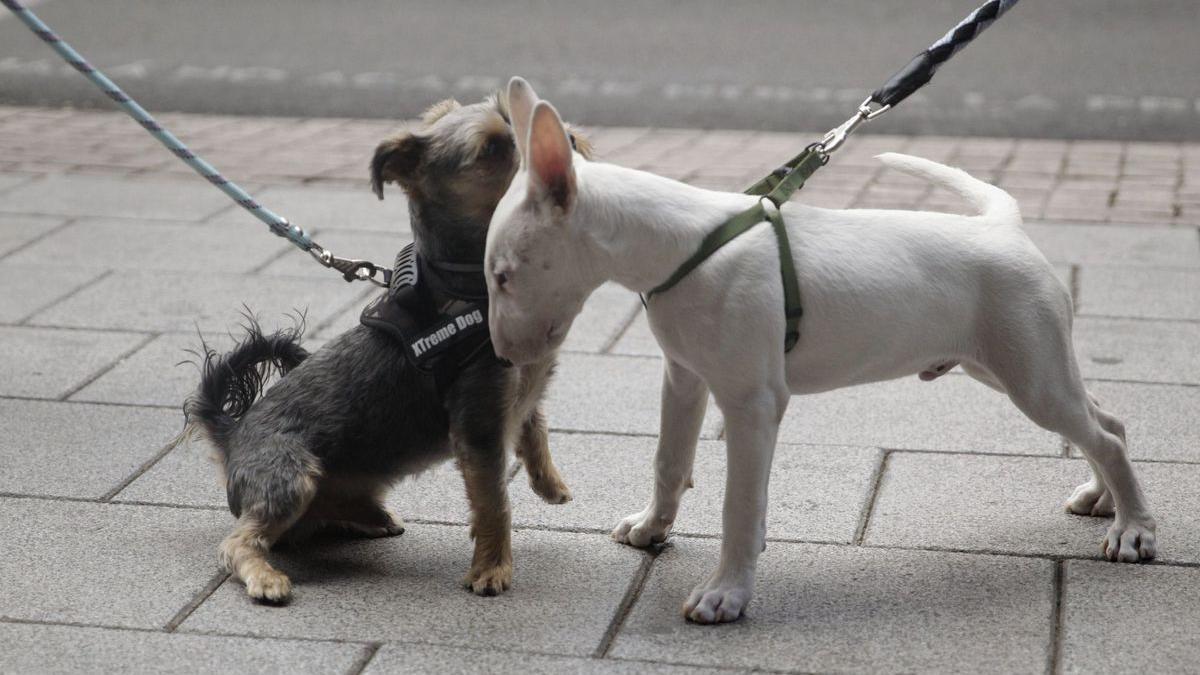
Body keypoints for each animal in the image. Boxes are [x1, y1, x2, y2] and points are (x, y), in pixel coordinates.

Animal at [176, 93, 590, 598]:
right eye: (492, 147)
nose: (568, 141)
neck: (473, 287)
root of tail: (232, 434)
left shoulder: (521, 389)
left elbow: (536, 426)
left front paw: (550, 483)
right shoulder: (479, 423)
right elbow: (494, 501)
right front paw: (491, 569)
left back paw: (370, 516)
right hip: (291, 475)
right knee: (240, 541)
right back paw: (266, 577)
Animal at [482, 77, 1156, 619]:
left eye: (504, 276)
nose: (504, 358)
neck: (683, 247)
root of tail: (1003, 224)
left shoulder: (753, 403)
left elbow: (738, 504)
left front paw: (725, 595)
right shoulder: (684, 377)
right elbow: (669, 463)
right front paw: (651, 530)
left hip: (1028, 373)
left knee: (1106, 434)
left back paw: (1135, 531)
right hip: (1006, 363)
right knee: (1105, 418)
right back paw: (1102, 500)